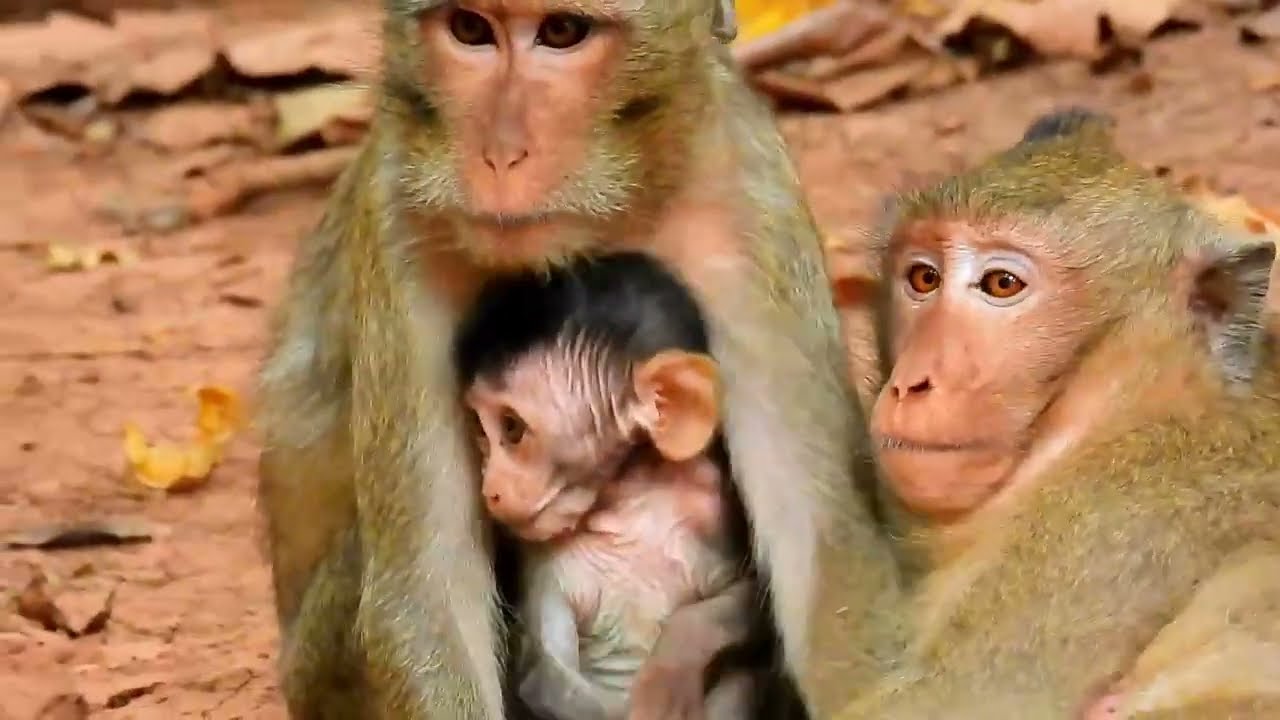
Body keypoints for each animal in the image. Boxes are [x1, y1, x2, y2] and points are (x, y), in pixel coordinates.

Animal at [453, 251, 766, 720]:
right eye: (480, 432)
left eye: (511, 428)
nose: (490, 489)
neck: (632, 500)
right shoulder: (542, 558)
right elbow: (542, 679)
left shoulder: (714, 509)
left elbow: (753, 603)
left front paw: (666, 678)